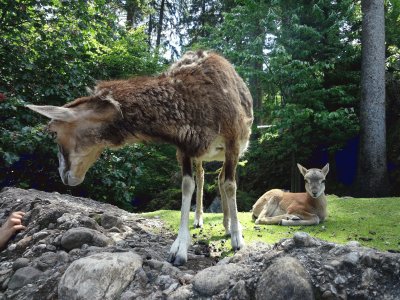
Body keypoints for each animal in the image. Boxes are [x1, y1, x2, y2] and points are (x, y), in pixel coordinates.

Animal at [27, 51, 253, 264]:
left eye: (55, 133)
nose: (64, 175)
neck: (197, 103)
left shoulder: (233, 140)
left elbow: (230, 185)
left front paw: (238, 239)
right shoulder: (185, 148)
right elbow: (188, 185)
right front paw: (179, 247)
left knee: (223, 179)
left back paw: (229, 226)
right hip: (203, 156)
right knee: (206, 175)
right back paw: (201, 219)